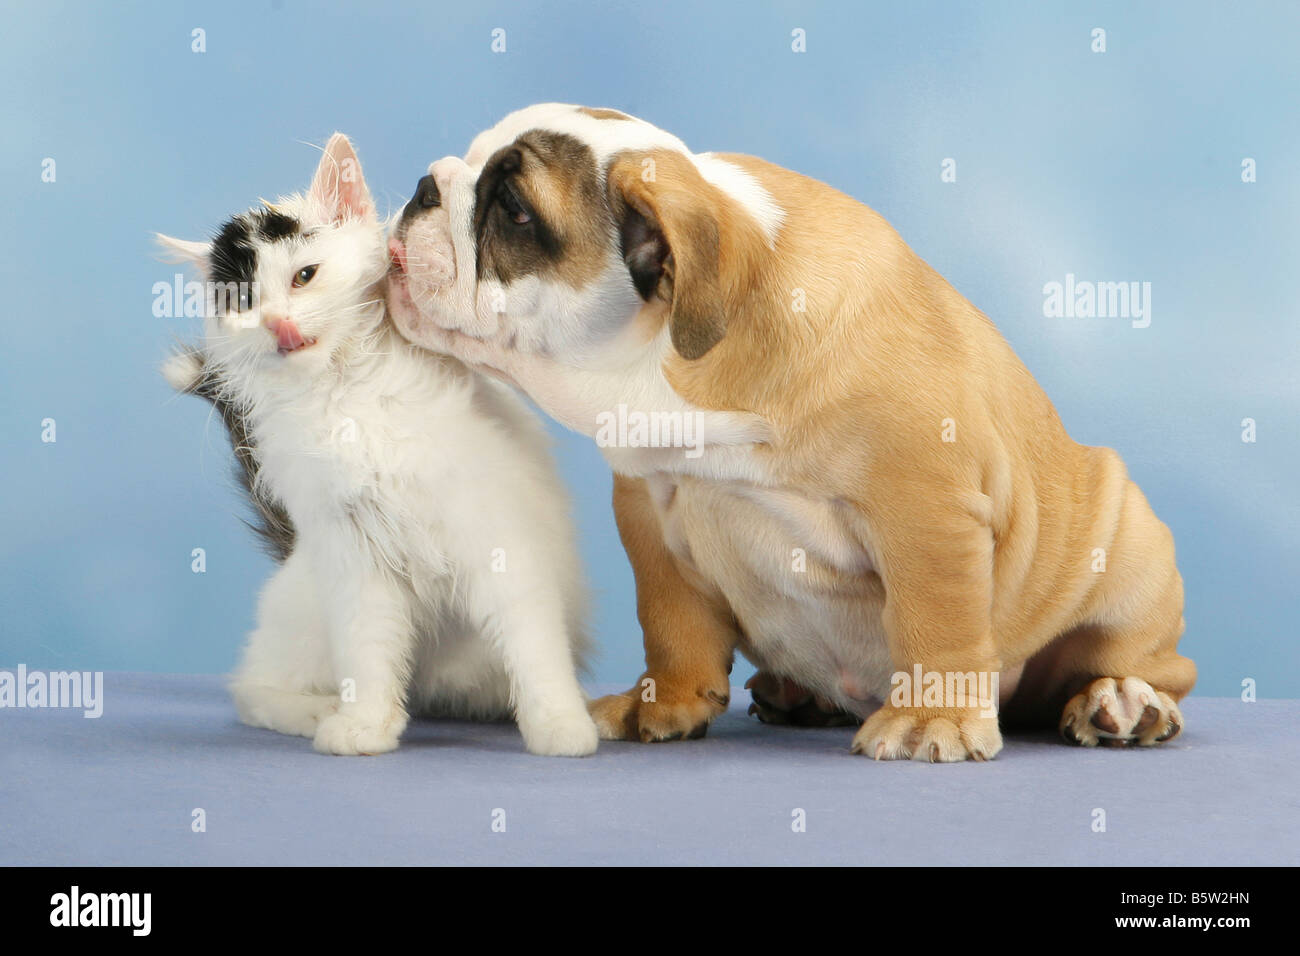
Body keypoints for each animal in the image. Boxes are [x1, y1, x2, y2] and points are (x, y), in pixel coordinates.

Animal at [157, 134, 598, 759]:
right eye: (243, 304)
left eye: (304, 276)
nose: (277, 325)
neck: (349, 394)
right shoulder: (351, 554)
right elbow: (366, 649)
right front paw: (365, 724)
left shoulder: (498, 535)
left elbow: (533, 641)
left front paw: (560, 723)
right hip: (307, 610)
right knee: (253, 691)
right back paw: (316, 713)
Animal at [384, 104, 1196, 764]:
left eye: (514, 209)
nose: (424, 186)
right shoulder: (648, 503)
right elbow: (670, 616)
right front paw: (666, 698)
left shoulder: (925, 512)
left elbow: (936, 619)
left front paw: (931, 718)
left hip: (1127, 548)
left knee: (1145, 663)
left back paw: (1122, 702)